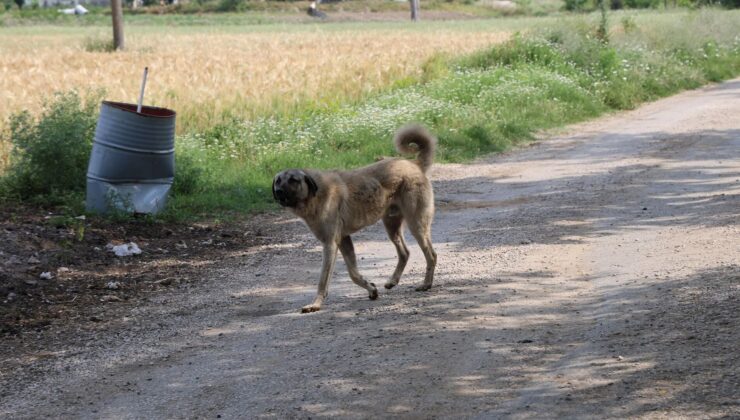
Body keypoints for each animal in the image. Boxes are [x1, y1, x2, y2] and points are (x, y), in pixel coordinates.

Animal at [274, 124, 436, 312]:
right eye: (278, 181)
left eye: (293, 180)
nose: (278, 192)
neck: (314, 195)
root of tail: (414, 164)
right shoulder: (344, 240)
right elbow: (353, 273)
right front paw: (371, 289)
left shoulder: (330, 244)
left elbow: (323, 280)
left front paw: (316, 304)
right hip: (391, 225)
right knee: (405, 252)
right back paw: (393, 281)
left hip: (416, 224)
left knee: (431, 255)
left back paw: (426, 284)